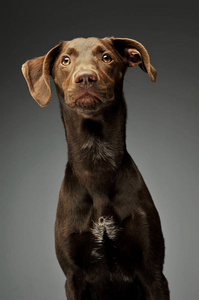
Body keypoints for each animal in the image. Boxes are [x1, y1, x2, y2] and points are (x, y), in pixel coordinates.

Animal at [21, 36, 169, 298]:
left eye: (106, 57)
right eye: (65, 60)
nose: (86, 77)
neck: (96, 161)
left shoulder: (154, 272)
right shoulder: (73, 277)